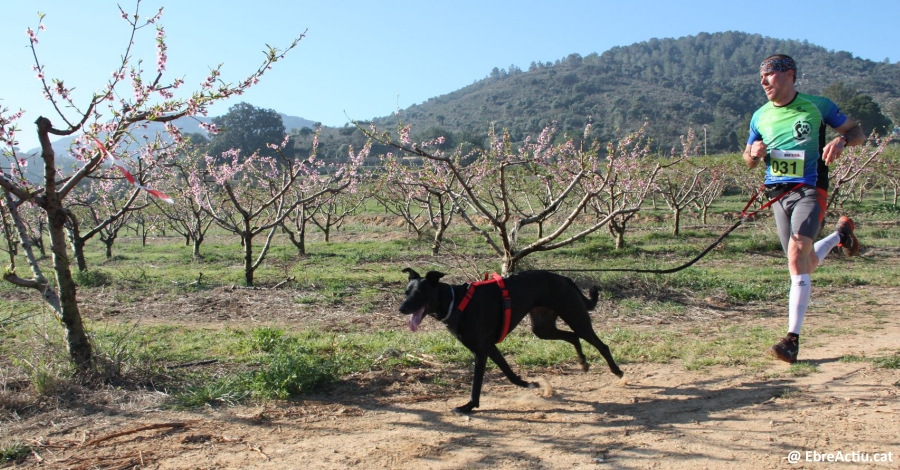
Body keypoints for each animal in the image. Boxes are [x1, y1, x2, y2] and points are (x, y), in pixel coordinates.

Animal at [398, 266, 624, 414]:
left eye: (419, 293)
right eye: (406, 292)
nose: (401, 308)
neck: (455, 301)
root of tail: (563, 278)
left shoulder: (481, 351)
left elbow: (476, 384)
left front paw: (469, 406)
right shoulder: (489, 348)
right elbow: (509, 373)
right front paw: (530, 384)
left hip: (575, 317)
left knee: (600, 344)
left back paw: (617, 371)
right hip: (543, 328)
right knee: (573, 336)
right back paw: (583, 362)